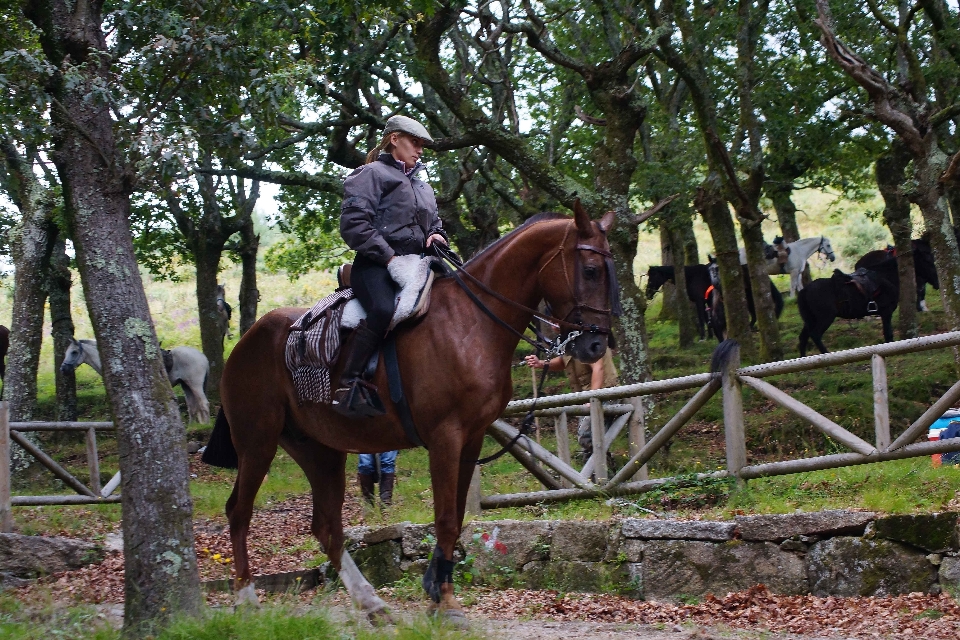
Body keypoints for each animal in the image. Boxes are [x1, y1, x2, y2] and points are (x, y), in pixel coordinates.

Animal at [61, 338, 210, 422]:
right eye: (66, 352)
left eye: (74, 352)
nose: (63, 369)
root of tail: (203, 357)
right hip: (186, 385)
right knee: (193, 407)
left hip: (195, 385)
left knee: (203, 404)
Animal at [206, 204, 620, 620]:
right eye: (590, 270)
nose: (596, 345)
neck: (470, 322)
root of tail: (246, 341)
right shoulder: (445, 438)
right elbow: (446, 519)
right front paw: (446, 601)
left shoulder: (471, 439)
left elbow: (456, 518)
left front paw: (437, 589)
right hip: (258, 442)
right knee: (239, 512)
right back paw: (247, 598)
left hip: (320, 451)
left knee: (327, 527)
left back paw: (371, 602)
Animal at [796, 252, 936, 358]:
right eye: (928, 261)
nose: (936, 282)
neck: (886, 277)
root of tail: (804, 291)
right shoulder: (886, 312)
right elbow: (888, 333)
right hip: (825, 318)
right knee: (815, 334)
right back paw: (826, 354)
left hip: (810, 319)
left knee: (803, 337)